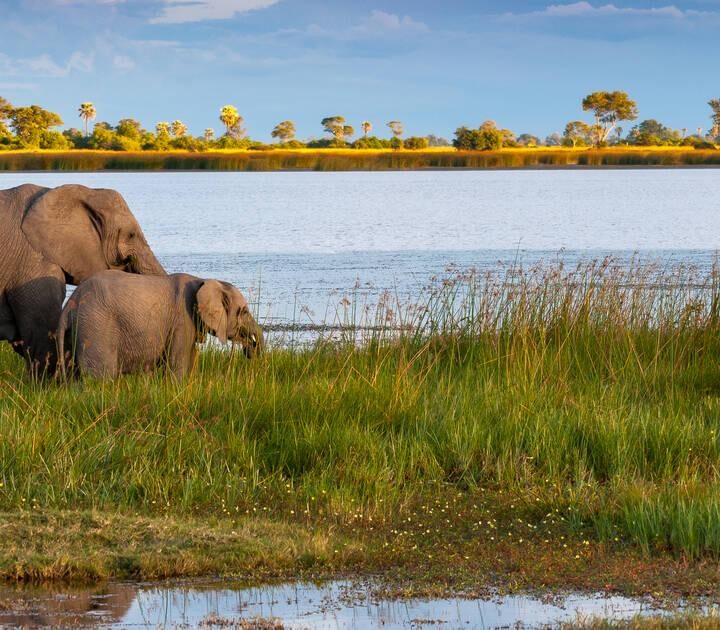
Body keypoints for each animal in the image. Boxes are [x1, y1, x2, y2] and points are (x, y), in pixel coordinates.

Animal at [57, 272, 262, 380]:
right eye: (244, 311)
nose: (250, 352)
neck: (203, 280)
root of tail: (71, 303)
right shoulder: (182, 320)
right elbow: (178, 364)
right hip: (96, 326)